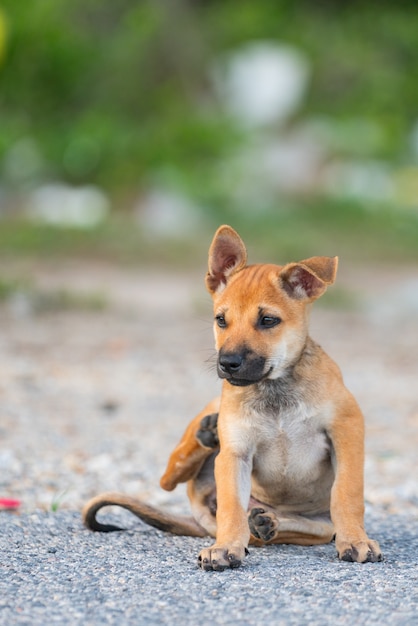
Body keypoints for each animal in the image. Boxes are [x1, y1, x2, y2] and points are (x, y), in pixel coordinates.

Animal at [82, 225, 382, 572]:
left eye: (268, 320)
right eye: (221, 320)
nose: (228, 363)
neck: (275, 390)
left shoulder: (347, 432)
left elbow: (347, 494)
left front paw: (355, 541)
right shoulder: (235, 454)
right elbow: (231, 508)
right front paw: (225, 548)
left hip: (316, 523)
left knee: (297, 526)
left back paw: (268, 522)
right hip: (209, 421)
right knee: (170, 477)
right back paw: (209, 435)